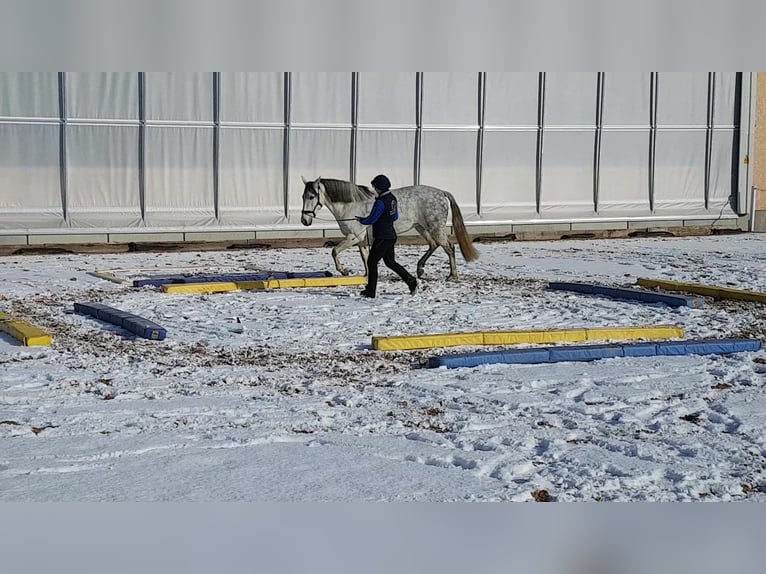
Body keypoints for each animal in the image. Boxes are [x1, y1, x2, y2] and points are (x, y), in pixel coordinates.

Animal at [300, 176, 479, 280]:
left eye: (311, 196)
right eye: (303, 196)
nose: (304, 220)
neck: (351, 206)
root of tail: (441, 192)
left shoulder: (354, 236)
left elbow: (334, 251)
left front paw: (344, 271)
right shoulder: (361, 240)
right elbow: (365, 257)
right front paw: (367, 276)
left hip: (436, 228)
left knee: (449, 247)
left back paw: (452, 275)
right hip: (421, 227)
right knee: (433, 245)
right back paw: (420, 270)